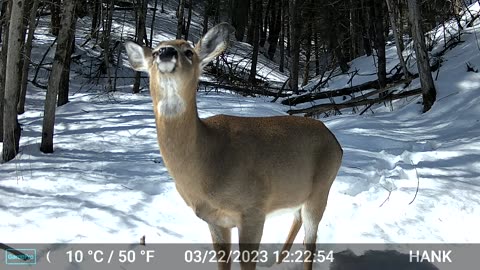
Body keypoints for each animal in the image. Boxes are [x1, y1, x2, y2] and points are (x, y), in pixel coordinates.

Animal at [124, 23, 342, 270]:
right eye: (153, 52)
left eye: (188, 51)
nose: (165, 52)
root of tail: (335, 140)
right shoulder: (215, 219)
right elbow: (223, 261)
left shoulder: (253, 209)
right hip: (300, 193)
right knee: (297, 221)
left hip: (322, 188)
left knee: (310, 241)